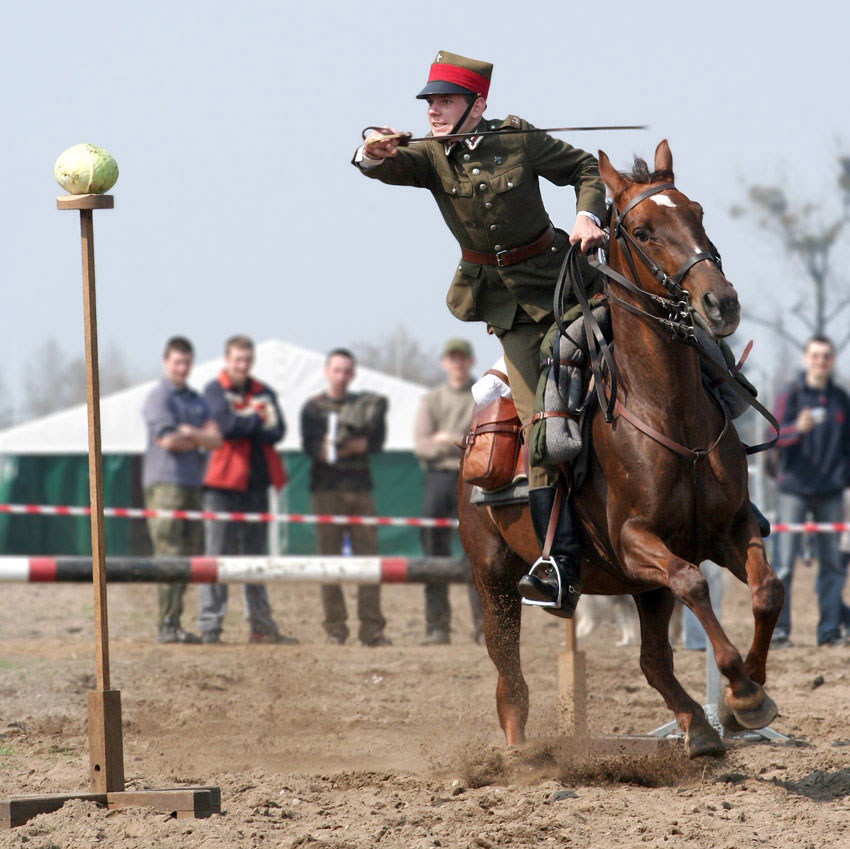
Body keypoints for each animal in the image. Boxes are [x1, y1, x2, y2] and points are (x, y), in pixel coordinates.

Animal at [460, 142, 784, 760]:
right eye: (641, 230)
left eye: (697, 212)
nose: (721, 303)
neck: (670, 413)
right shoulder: (634, 541)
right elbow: (693, 582)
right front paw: (740, 688)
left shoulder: (728, 528)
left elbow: (766, 591)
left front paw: (746, 700)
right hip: (495, 580)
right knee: (509, 680)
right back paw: (520, 755)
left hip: (642, 592)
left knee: (653, 660)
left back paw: (699, 726)